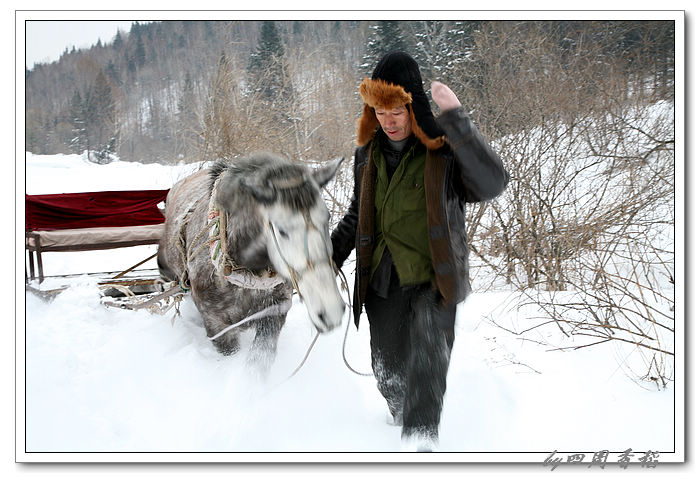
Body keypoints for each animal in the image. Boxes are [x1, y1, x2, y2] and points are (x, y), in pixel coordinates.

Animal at [157, 153, 346, 372]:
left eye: (328, 217)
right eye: (281, 230)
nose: (331, 311)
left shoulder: (275, 312)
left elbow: (259, 362)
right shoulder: (218, 327)